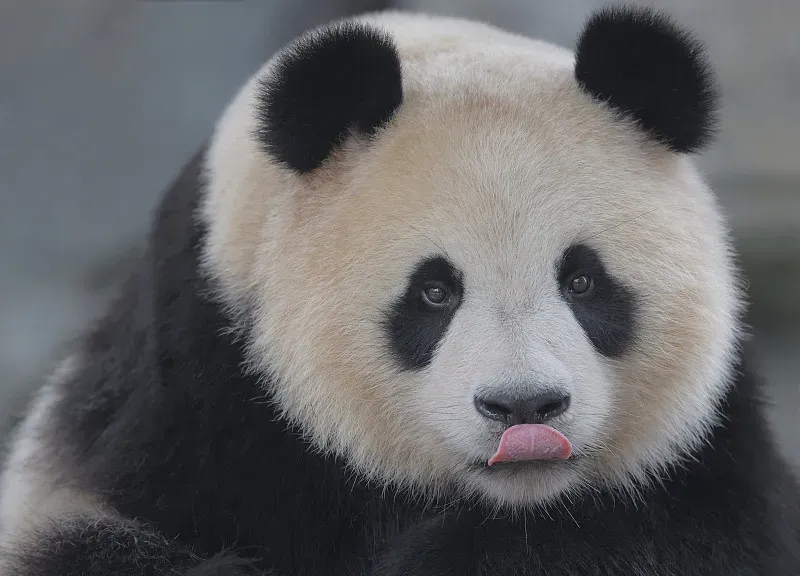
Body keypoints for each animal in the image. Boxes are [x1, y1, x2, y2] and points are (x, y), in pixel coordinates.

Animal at [0, 4, 798, 575]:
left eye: (582, 280)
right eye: (434, 293)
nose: (524, 407)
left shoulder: (711, 453)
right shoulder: (186, 409)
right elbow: (92, 545)